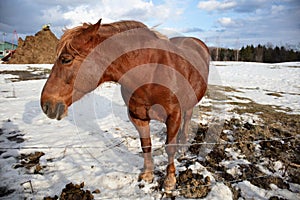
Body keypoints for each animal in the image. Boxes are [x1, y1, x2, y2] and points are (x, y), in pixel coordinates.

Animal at [41, 18, 210, 192]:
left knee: (187, 120)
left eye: (66, 59)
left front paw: (170, 180)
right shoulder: (138, 117)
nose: (46, 104)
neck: (149, 74)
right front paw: (148, 175)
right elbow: (146, 145)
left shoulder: (173, 115)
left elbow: (170, 147)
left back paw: (183, 145)